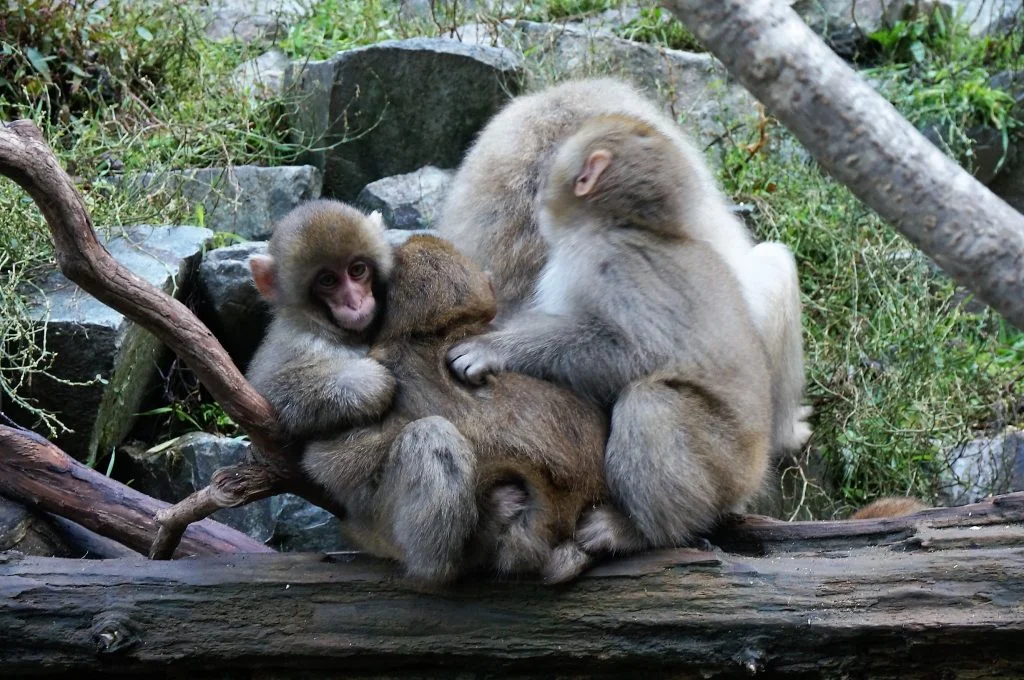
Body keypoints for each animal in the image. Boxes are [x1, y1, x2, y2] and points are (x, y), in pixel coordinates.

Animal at [246, 200, 397, 439]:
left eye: (357, 269)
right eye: (327, 281)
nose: (354, 302)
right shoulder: (296, 340)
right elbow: (270, 388)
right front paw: (367, 383)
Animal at [446, 113, 775, 555]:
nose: (538, 183)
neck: (619, 224)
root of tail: (754, 470)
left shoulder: (607, 261)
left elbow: (635, 352)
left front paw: (494, 348)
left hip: (725, 461)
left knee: (651, 404)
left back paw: (643, 532)